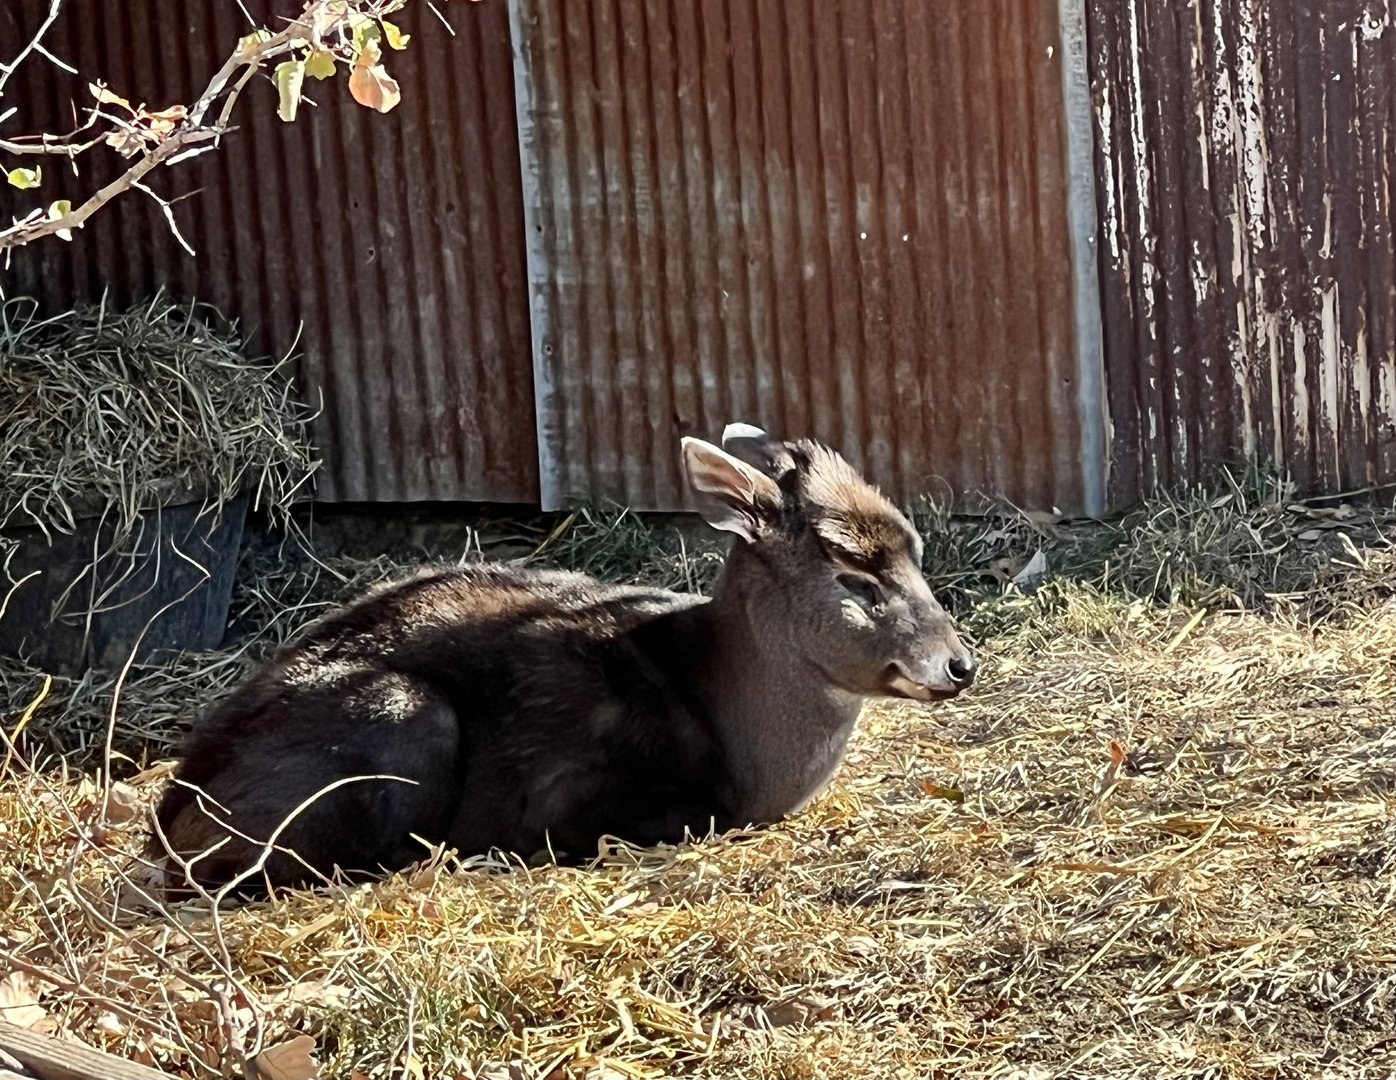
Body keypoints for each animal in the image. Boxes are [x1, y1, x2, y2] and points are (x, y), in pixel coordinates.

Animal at [153, 424, 976, 895]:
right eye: (854, 573)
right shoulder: (578, 797)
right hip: (402, 716)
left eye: (916, 549)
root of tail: (173, 817)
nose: (959, 665)